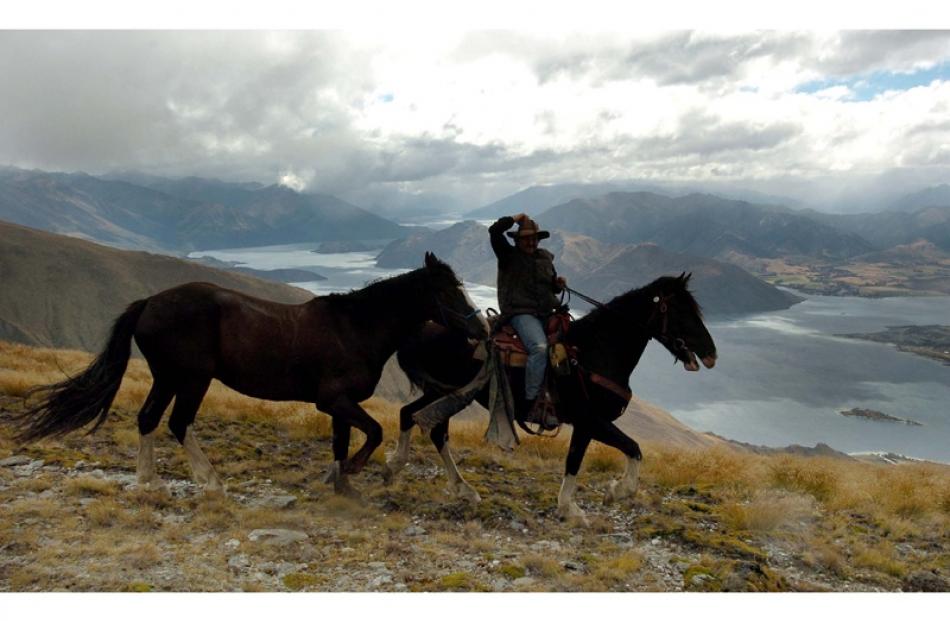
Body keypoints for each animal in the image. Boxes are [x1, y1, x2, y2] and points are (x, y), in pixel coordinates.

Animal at [13, 251, 490, 494]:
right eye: (450, 289)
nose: (481, 329)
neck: (355, 326)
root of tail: (149, 303)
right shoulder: (334, 400)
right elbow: (371, 433)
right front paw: (357, 472)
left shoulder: (340, 405)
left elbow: (341, 443)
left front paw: (340, 484)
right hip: (191, 379)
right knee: (177, 423)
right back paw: (209, 481)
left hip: (168, 377)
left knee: (148, 419)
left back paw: (148, 482)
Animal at [384, 274, 712, 520]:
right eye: (682, 311)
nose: (711, 353)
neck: (594, 351)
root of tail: (424, 327)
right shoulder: (591, 420)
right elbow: (631, 448)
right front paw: (612, 493)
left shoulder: (586, 425)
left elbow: (575, 459)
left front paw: (569, 506)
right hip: (449, 393)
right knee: (431, 426)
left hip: (442, 393)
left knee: (413, 416)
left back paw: (430, 478)